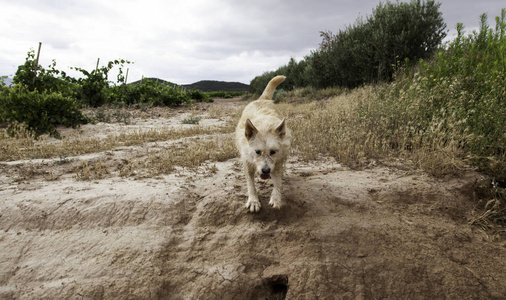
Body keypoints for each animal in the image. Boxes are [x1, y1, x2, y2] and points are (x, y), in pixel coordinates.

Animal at [235, 76, 290, 212]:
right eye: (257, 152)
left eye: (273, 152)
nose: (265, 171)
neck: (264, 126)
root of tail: (262, 99)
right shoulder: (247, 163)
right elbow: (250, 184)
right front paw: (253, 201)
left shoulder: (277, 162)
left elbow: (278, 182)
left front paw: (276, 198)